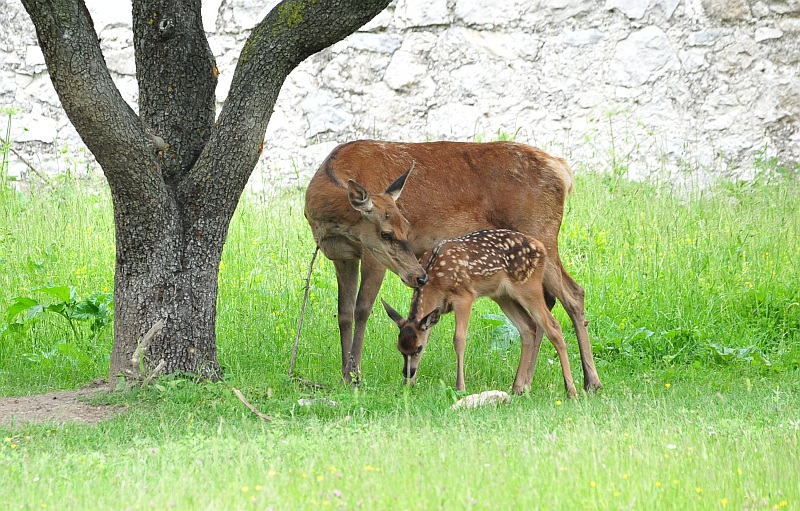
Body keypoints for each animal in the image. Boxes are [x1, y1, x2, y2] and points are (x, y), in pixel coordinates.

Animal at [382, 228, 580, 396]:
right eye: (400, 348)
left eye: (418, 348)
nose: (407, 373)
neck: (435, 282)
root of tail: (541, 248)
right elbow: (429, 334)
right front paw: (408, 386)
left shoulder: (464, 296)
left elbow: (459, 340)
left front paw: (460, 387)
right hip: (502, 296)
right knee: (528, 326)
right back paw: (517, 387)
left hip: (528, 287)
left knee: (553, 326)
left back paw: (571, 391)